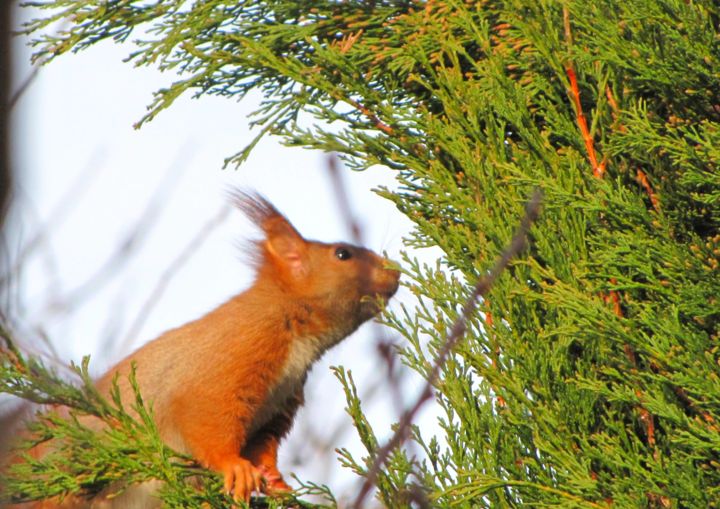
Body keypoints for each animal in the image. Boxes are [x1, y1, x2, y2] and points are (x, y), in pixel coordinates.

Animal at [12, 190, 400, 504]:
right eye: (342, 254)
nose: (394, 271)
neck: (294, 333)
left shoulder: (278, 405)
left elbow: (264, 446)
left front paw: (275, 480)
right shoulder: (230, 359)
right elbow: (206, 417)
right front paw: (234, 467)